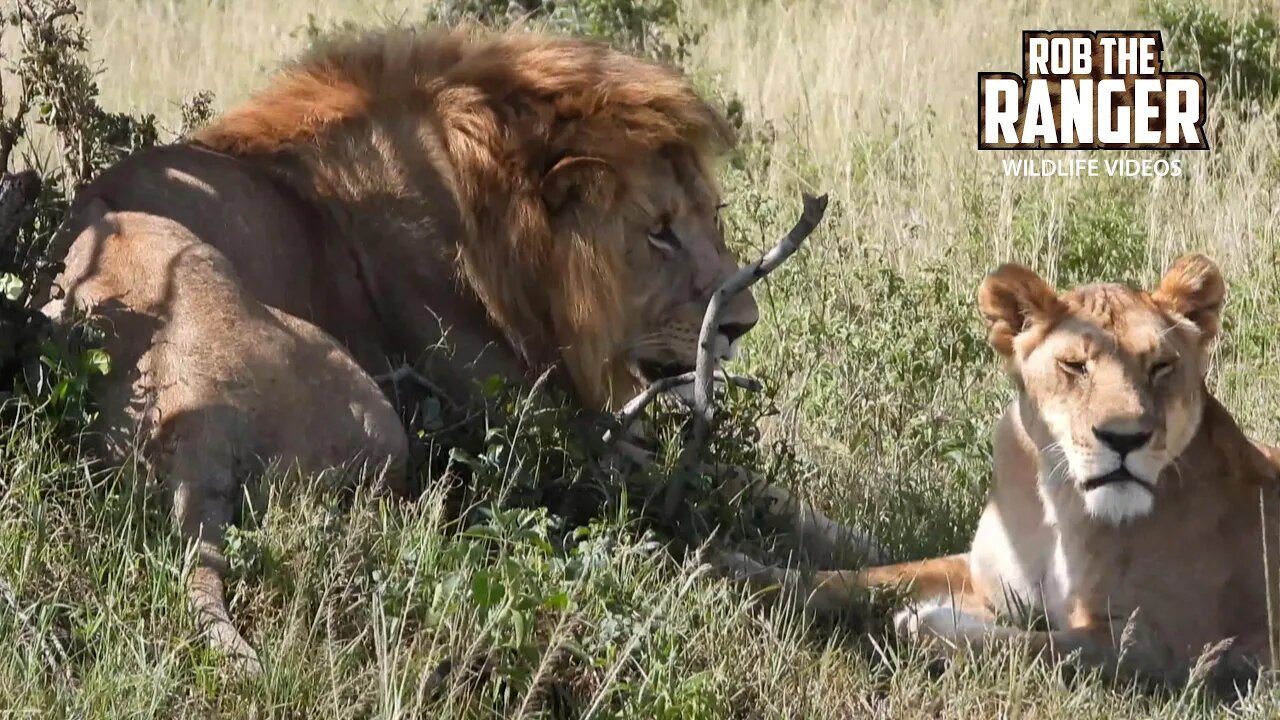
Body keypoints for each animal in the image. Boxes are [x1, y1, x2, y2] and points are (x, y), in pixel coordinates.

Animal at [721, 256, 1280, 691]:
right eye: (1075, 366)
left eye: (1161, 367)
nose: (1124, 439)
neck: (1060, 504)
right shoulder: (982, 573)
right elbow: (864, 576)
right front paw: (734, 572)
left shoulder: (1168, 649)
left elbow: (1034, 647)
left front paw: (927, 624)